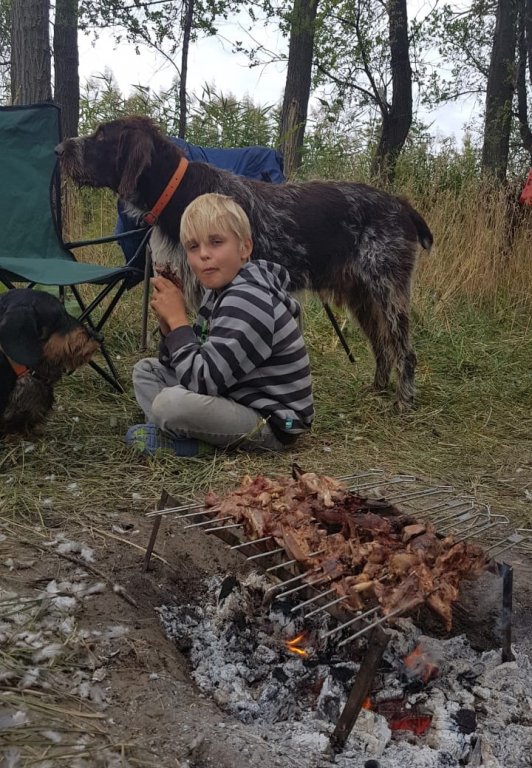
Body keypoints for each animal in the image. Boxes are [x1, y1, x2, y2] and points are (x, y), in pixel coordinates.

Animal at [56, 116, 433, 409]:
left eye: (101, 135)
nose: (59, 150)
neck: (178, 192)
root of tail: (401, 204)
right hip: (362, 296)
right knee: (382, 346)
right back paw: (378, 387)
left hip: (388, 290)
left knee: (404, 350)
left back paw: (404, 400)